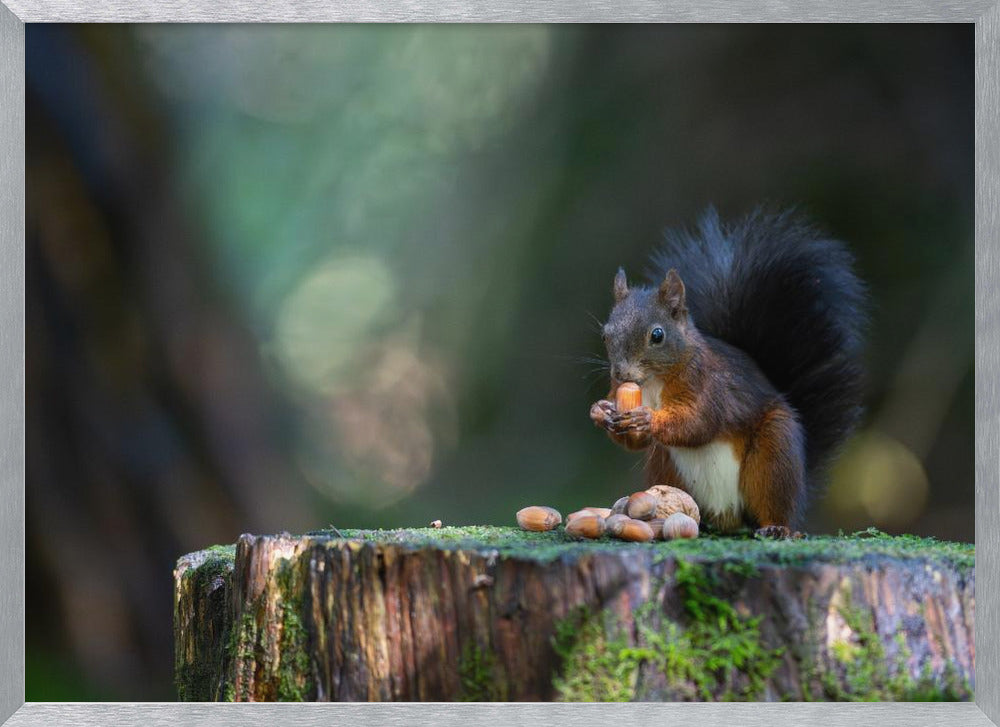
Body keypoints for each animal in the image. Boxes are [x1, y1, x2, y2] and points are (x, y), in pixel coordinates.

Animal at [589, 208, 867, 538]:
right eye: (605, 334)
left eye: (657, 335)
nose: (622, 373)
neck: (653, 383)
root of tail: (728, 518)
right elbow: (636, 441)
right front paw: (600, 411)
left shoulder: (707, 384)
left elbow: (699, 422)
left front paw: (648, 418)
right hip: (664, 465)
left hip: (774, 455)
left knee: (774, 502)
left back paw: (778, 528)